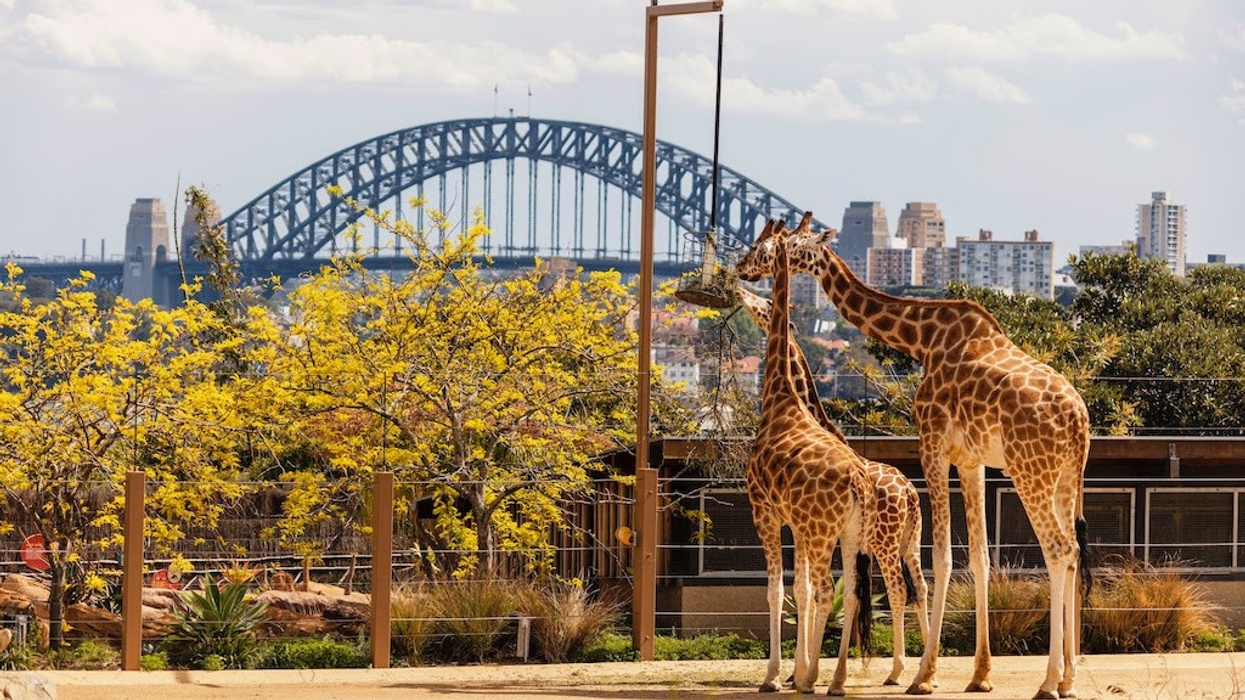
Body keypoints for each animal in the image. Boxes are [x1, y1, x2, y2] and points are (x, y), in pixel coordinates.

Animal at [736, 284, 930, 687]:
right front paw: (800, 670)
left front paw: (790, 672)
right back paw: (922, 668)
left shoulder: (788, 521)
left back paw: (896, 670)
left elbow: (796, 591)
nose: (742, 294)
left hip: (884, 543)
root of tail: (909, 492)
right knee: (920, 587)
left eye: (765, 305)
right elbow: (806, 590)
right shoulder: (806, 529)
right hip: (910, 541)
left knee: (897, 590)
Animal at [745, 218, 875, 695]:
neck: (779, 397)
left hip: (826, 532)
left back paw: (816, 678)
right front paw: (795, 670)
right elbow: (797, 590)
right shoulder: (796, 523)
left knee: (826, 590)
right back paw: (835, 679)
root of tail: (858, 481)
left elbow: (776, 590)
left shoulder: (764, 510)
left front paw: (774, 676)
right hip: (852, 532)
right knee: (851, 592)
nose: (739, 269)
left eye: (760, 248)